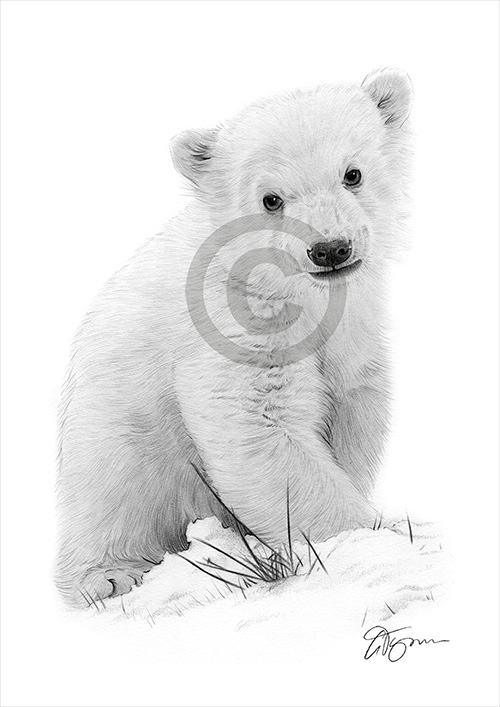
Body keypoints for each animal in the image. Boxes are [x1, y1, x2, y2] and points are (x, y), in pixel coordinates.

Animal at [56, 68, 413, 606]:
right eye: (271, 198)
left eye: (353, 173)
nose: (330, 248)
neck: (297, 293)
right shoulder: (233, 323)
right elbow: (258, 427)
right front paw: (369, 536)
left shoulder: (357, 330)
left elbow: (352, 408)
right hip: (114, 432)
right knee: (110, 492)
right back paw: (108, 574)